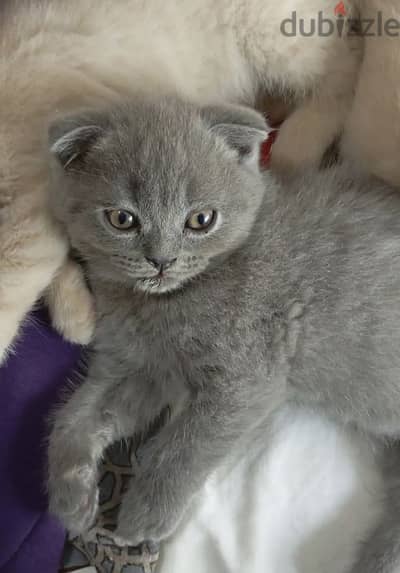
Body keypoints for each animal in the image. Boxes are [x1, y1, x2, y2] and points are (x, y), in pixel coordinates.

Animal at [0, 1, 360, 362]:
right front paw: (75, 313)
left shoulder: (27, 211)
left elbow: (12, 287)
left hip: (276, 40)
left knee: (344, 64)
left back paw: (297, 141)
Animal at [47, 96, 400, 568]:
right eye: (122, 219)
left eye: (201, 219)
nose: (162, 260)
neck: (160, 306)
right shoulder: (140, 367)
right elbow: (75, 417)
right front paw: (71, 497)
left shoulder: (249, 375)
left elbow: (187, 444)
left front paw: (145, 514)